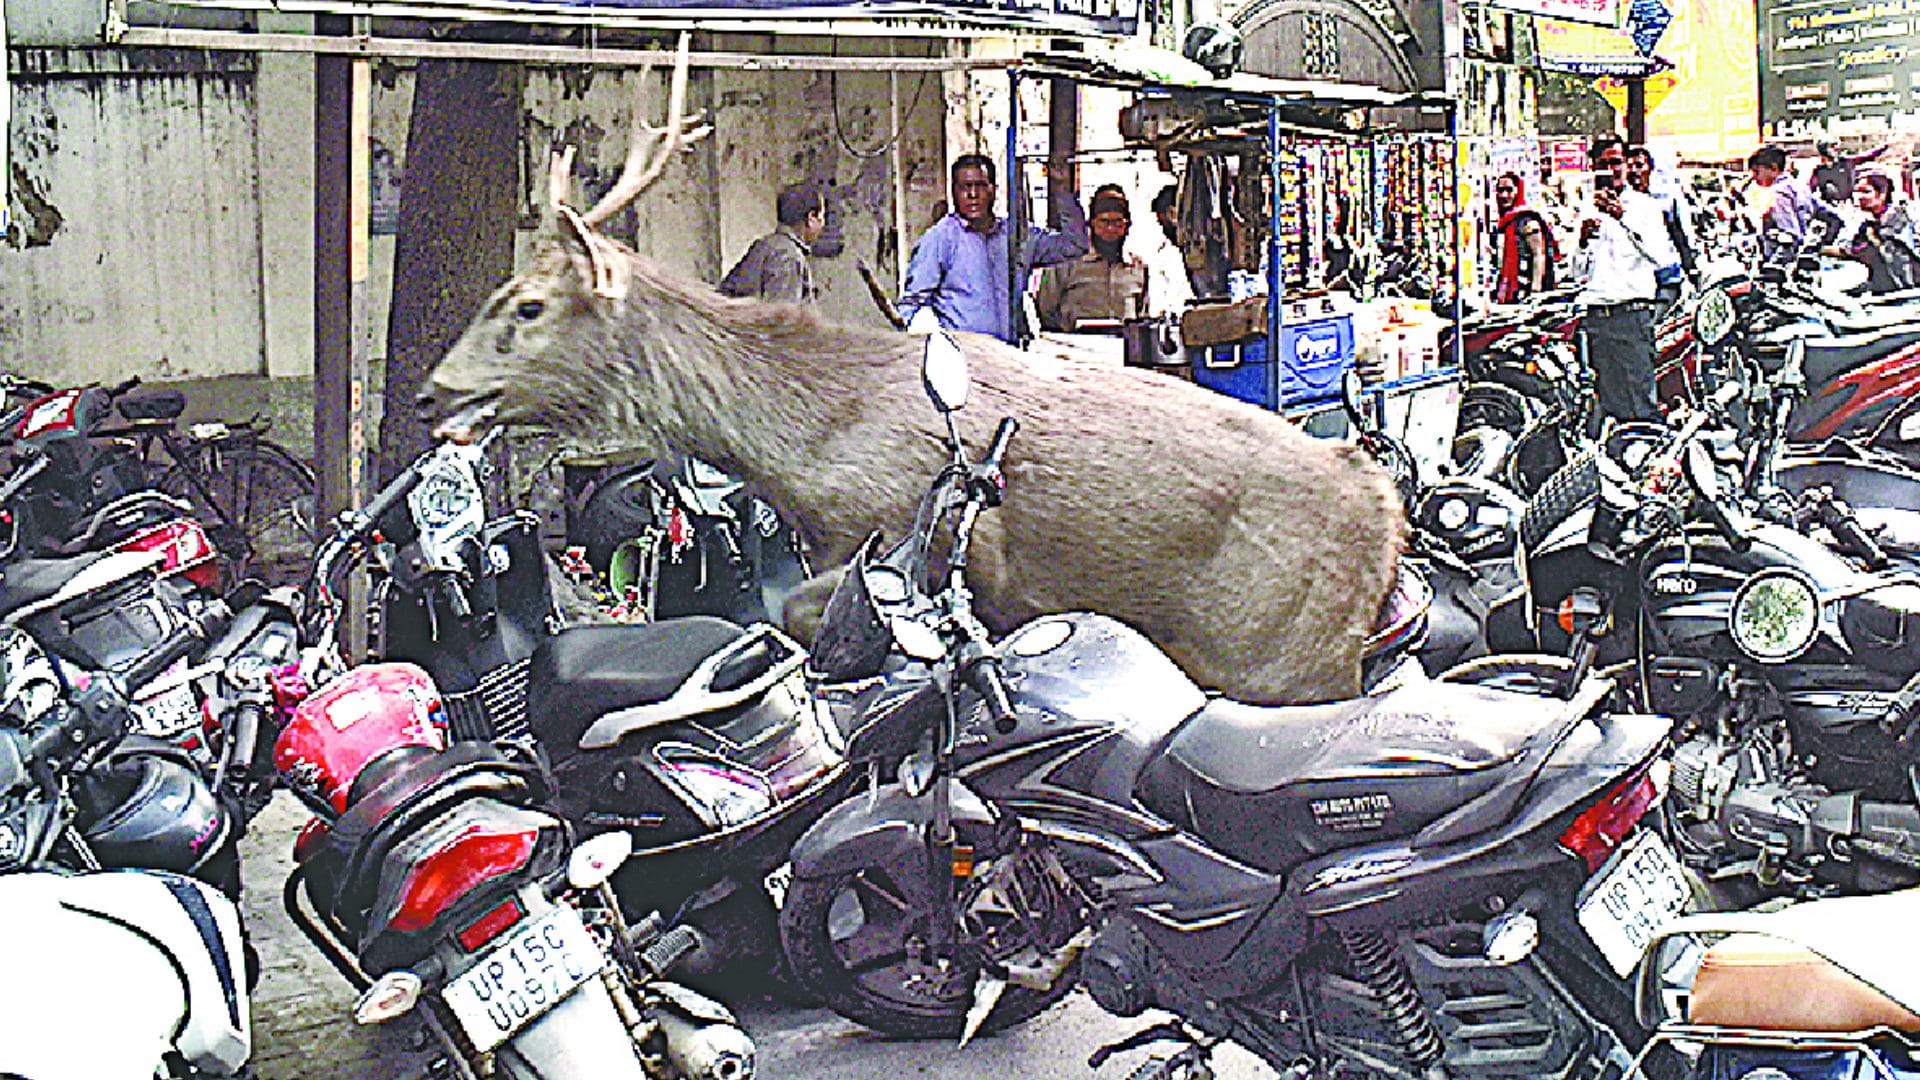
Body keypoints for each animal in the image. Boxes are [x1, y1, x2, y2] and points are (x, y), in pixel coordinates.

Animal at [416, 35, 1407, 704]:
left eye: (528, 305)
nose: (433, 390)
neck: (805, 443)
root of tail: (1388, 517)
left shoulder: (918, 537)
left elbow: (798, 615)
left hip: (1289, 654)